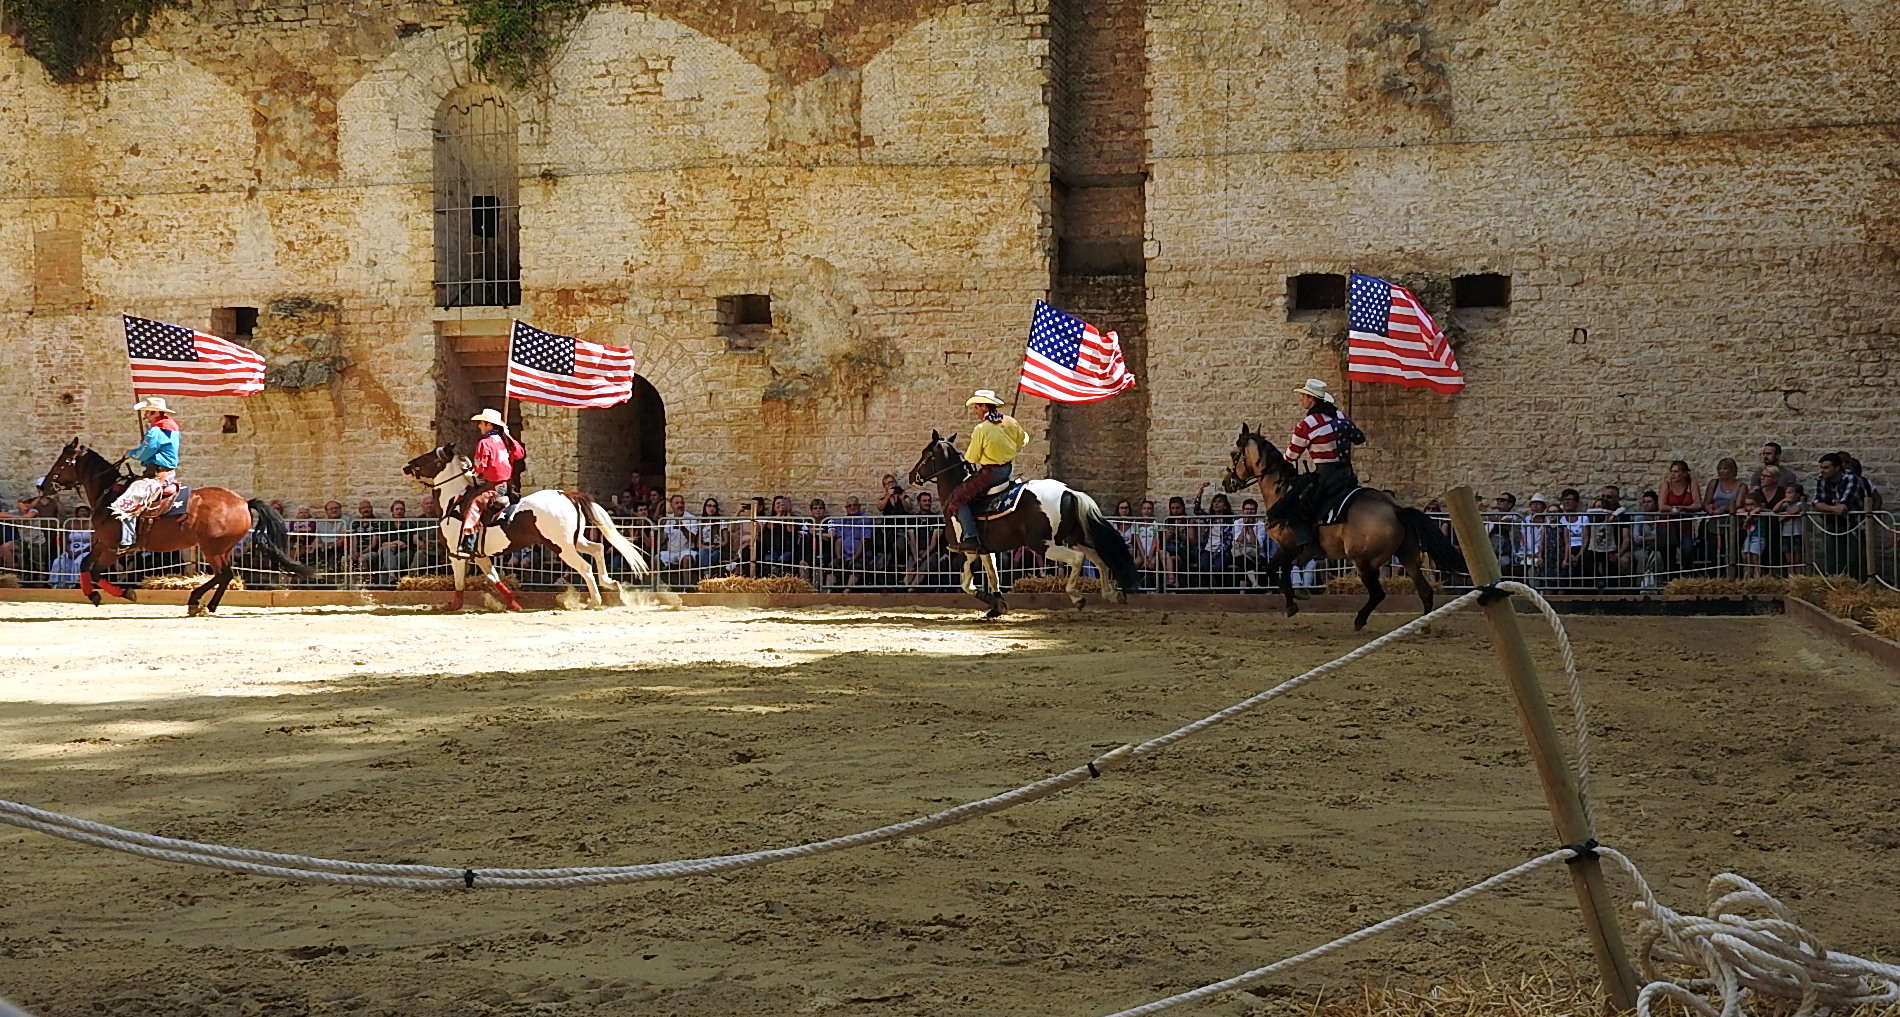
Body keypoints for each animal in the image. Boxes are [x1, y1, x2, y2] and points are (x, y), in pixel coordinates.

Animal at [38, 437, 313, 612]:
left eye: (62, 461)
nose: (44, 486)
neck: (108, 494)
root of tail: (243, 502)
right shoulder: (102, 543)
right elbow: (85, 565)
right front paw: (93, 594)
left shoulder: (113, 547)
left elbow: (95, 571)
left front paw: (122, 593)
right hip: (220, 549)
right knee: (225, 575)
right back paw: (206, 603)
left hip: (212, 548)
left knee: (223, 574)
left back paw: (197, 601)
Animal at [402, 444, 653, 612]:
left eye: (429, 457)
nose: (407, 466)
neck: (454, 501)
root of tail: (566, 494)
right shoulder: (481, 555)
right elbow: (494, 578)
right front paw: (513, 603)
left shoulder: (457, 554)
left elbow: (459, 581)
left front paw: (453, 605)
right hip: (575, 540)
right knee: (598, 549)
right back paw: (609, 583)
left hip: (562, 547)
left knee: (584, 567)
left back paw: (595, 600)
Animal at [900, 431, 1132, 619]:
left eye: (925, 454)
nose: (911, 476)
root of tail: (1068, 492)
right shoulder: (985, 550)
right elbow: (993, 576)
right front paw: (998, 606)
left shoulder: (967, 552)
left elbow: (966, 584)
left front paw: (993, 604)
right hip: (1074, 538)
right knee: (1099, 559)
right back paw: (1112, 594)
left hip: (1043, 544)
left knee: (1078, 559)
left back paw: (1078, 597)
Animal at [1216, 422, 1466, 627]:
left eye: (1234, 453)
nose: (1227, 482)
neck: (1282, 490)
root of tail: (1396, 510)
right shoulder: (1288, 550)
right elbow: (1281, 570)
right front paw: (1293, 600)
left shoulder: (1289, 547)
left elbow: (1271, 569)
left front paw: (1292, 603)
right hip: (1408, 556)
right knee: (1425, 591)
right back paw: (1422, 626)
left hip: (1364, 561)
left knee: (1378, 594)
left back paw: (1360, 620)